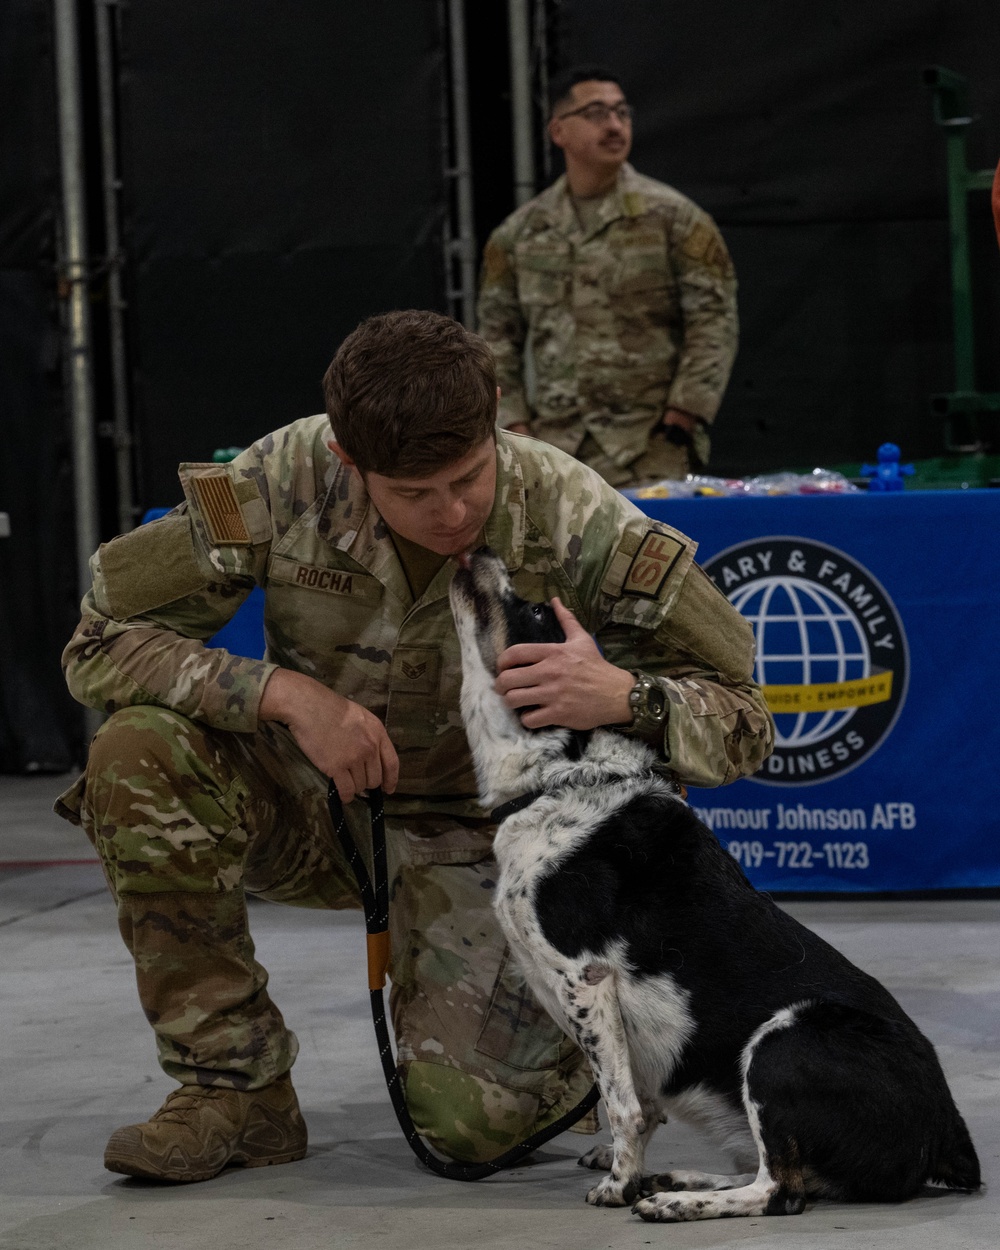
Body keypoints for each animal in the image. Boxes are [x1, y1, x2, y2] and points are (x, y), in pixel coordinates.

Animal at [450, 547, 980, 1220]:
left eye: (539, 612)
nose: (481, 550)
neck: (560, 777)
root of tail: (948, 1129)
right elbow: (641, 1105)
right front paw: (630, 1169)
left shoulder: (584, 977)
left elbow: (622, 1105)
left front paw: (618, 1185)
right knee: (779, 1174)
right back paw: (676, 1180)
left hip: (782, 1041)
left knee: (782, 1190)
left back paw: (675, 1202)